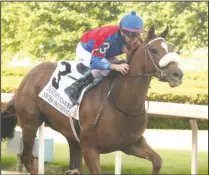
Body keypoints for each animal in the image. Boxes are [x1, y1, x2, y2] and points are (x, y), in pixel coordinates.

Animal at [1, 26, 183, 175]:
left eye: (170, 49)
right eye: (154, 50)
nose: (177, 74)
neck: (121, 103)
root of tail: (28, 76)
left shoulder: (131, 144)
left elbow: (157, 161)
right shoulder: (90, 148)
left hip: (72, 137)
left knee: (73, 166)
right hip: (30, 123)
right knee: (27, 158)